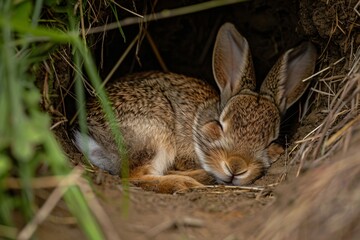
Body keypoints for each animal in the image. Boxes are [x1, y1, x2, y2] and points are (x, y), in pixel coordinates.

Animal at [74, 23, 316, 193]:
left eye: (272, 142)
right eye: (219, 126)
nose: (235, 167)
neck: (199, 120)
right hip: (155, 135)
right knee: (134, 176)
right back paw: (187, 183)